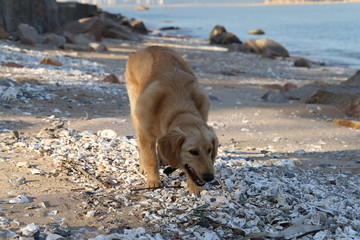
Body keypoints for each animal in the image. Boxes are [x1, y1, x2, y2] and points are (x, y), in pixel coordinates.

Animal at [124, 46, 219, 194]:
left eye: (210, 150)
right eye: (193, 152)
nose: (209, 177)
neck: (180, 108)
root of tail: (147, 47)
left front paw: (195, 187)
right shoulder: (145, 132)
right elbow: (151, 159)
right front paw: (153, 181)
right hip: (135, 111)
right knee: (140, 144)